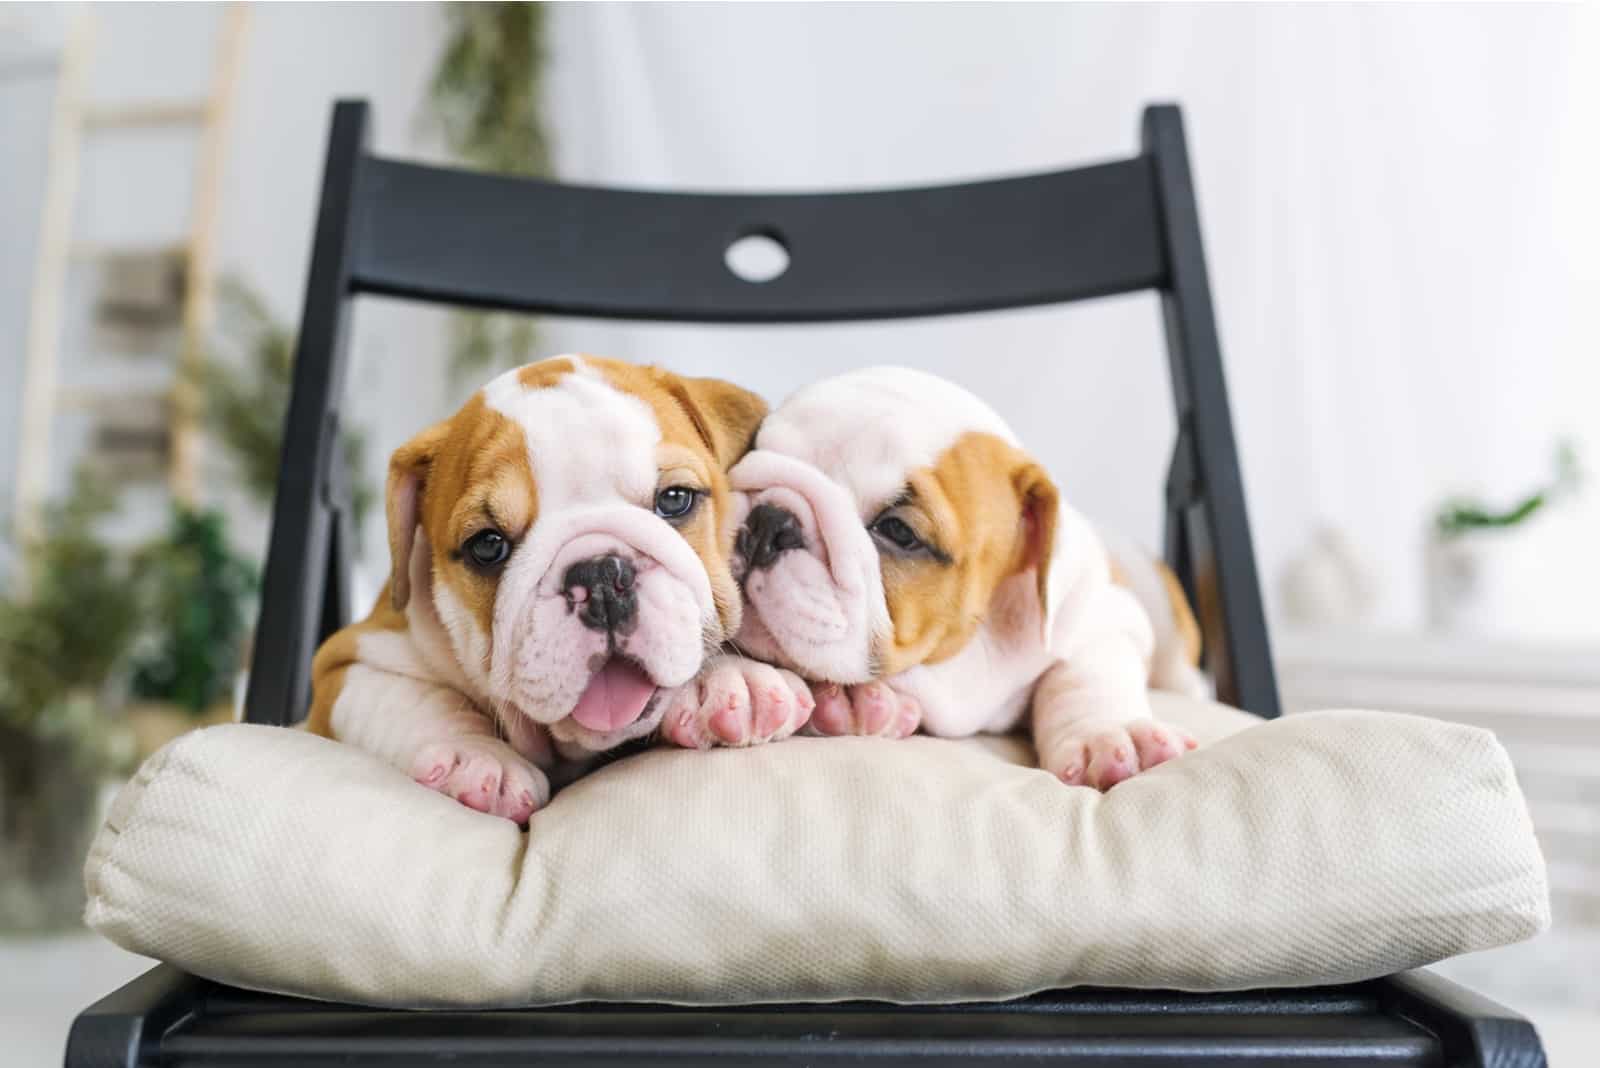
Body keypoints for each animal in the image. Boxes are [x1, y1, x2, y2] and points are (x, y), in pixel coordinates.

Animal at [307, 354, 819, 824]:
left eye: (675, 499)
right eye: (487, 545)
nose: (600, 577)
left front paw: (732, 680)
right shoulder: (347, 663)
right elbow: (417, 700)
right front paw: (476, 755)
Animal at [726, 367, 1203, 793]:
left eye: (898, 530)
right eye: (752, 450)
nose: (769, 522)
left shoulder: (1104, 619)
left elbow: (1086, 674)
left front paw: (1113, 735)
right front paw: (746, 683)